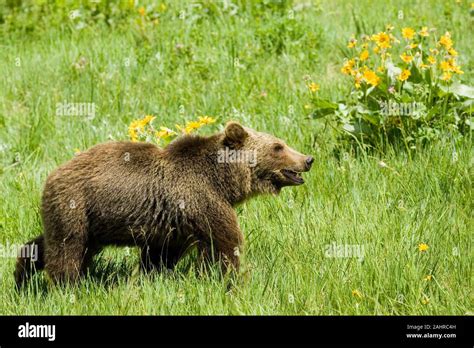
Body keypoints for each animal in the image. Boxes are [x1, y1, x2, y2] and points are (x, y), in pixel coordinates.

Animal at [13, 121, 312, 286]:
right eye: (278, 146)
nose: (307, 159)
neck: (221, 179)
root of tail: (52, 174)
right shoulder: (201, 200)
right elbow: (224, 243)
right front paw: (228, 280)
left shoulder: (172, 225)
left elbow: (160, 256)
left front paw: (153, 277)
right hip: (76, 206)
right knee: (67, 249)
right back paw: (66, 286)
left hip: (90, 222)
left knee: (49, 244)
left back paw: (21, 274)